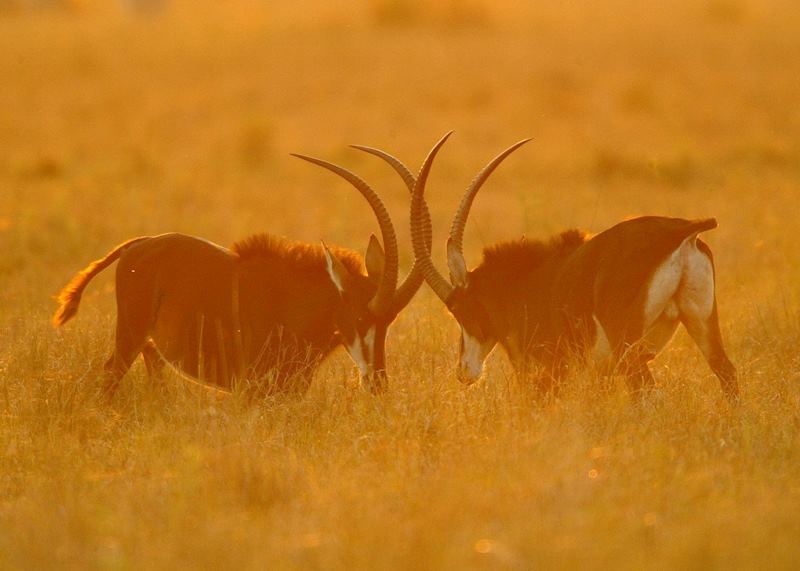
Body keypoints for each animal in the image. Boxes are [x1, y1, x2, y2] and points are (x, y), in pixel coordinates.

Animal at [52, 147, 434, 397]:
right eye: (359, 317)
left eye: (388, 322)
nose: (378, 382)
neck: (297, 302)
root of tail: (139, 245)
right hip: (129, 335)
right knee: (111, 375)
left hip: (152, 348)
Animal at [408, 134, 738, 401]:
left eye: (458, 309)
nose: (464, 373)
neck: (524, 281)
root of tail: (681, 230)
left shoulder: (546, 368)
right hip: (700, 320)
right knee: (727, 373)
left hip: (627, 345)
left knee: (645, 390)